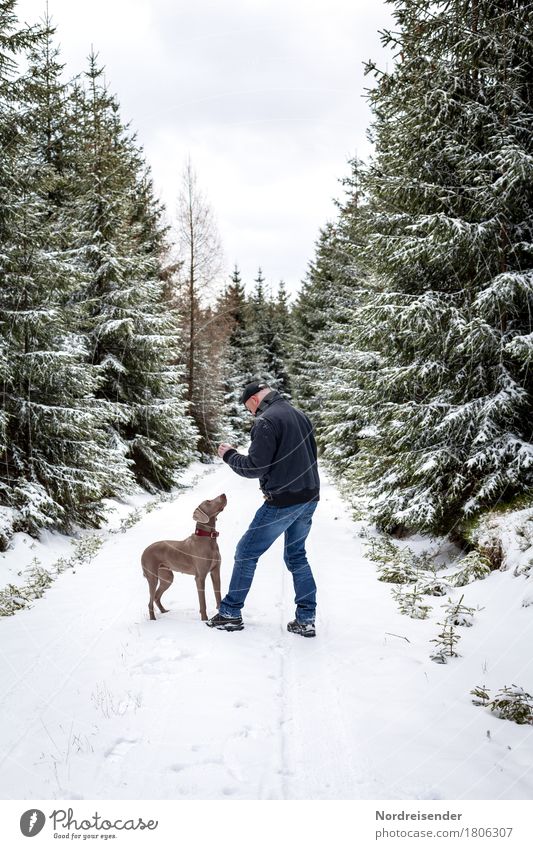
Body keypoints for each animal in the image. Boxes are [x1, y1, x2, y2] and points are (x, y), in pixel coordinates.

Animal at [140, 490, 225, 624]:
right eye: (208, 501)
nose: (224, 494)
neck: (208, 538)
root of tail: (144, 550)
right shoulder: (200, 577)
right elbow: (202, 602)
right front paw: (204, 620)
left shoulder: (215, 572)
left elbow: (218, 595)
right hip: (152, 577)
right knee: (150, 601)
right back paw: (153, 619)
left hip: (167, 577)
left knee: (156, 596)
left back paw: (164, 611)